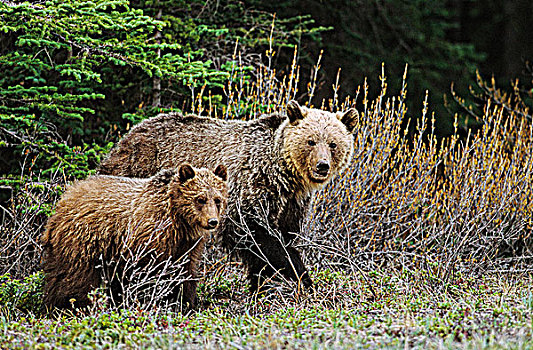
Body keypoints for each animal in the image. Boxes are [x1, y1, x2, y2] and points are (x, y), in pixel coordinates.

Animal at [39, 163, 227, 310]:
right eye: (200, 199)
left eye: (217, 199)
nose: (212, 221)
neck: (179, 220)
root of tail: (65, 197)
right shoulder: (149, 238)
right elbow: (147, 273)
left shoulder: (187, 244)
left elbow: (185, 272)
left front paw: (186, 303)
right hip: (83, 239)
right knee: (75, 276)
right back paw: (68, 305)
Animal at [100, 100, 358, 292]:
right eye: (311, 141)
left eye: (333, 144)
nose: (322, 166)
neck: (283, 175)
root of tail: (126, 137)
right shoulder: (250, 188)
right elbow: (256, 236)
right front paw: (302, 276)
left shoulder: (291, 203)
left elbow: (282, 235)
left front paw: (262, 284)